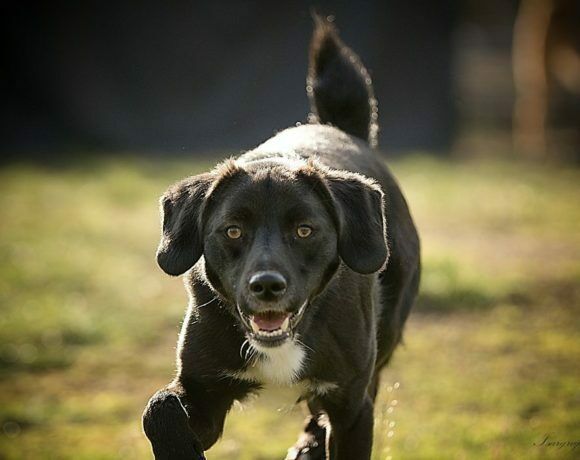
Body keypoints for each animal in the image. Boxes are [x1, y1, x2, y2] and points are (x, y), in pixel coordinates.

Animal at [143, 17, 420, 460]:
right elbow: (159, 408)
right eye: (233, 230)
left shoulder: (353, 408)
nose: (267, 286)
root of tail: (340, 129)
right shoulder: (203, 395)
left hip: (385, 334)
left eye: (304, 230)